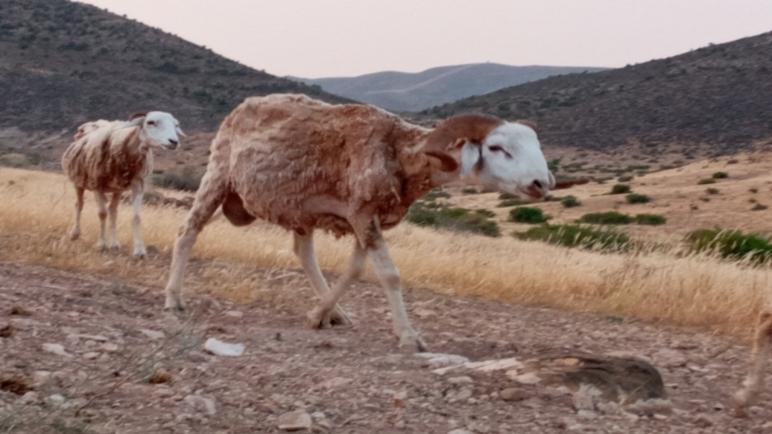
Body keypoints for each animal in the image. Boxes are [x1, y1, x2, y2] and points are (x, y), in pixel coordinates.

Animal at [62, 112, 184, 258]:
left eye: (176, 125)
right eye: (150, 122)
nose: (174, 142)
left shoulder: (138, 184)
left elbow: (136, 217)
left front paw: (139, 250)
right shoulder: (96, 184)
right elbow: (102, 213)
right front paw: (101, 244)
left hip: (117, 188)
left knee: (113, 211)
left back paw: (114, 243)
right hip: (79, 181)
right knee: (79, 205)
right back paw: (75, 233)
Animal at [163, 93, 556, 350]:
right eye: (497, 148)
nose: (542, 183)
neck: (397, 151)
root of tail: (243, 106)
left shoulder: (364, 218)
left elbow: (354, 270)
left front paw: (319, 315)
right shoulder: (364, 215)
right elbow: (389, 275)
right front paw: (409, 336)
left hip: (299, 211)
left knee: (304, 254)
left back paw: (335, 313)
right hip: (217, 178)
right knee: (186, 232)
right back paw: (173, 299)